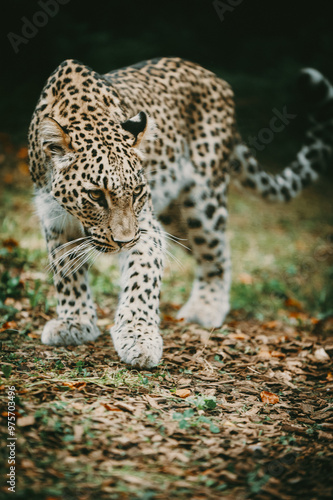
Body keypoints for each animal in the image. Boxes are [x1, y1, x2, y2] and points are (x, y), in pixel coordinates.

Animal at [29, 58, 332, 368]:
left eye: (137, 191)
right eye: (95, 195)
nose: (124, 242)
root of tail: (213, 77)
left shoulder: (145, 228)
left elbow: (141, 281)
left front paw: (139, 339)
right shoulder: (55, 220)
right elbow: (67, 273)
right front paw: (74, 323)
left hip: (203, 201)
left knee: (217, 252)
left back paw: (206, 308)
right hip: (176, 218)